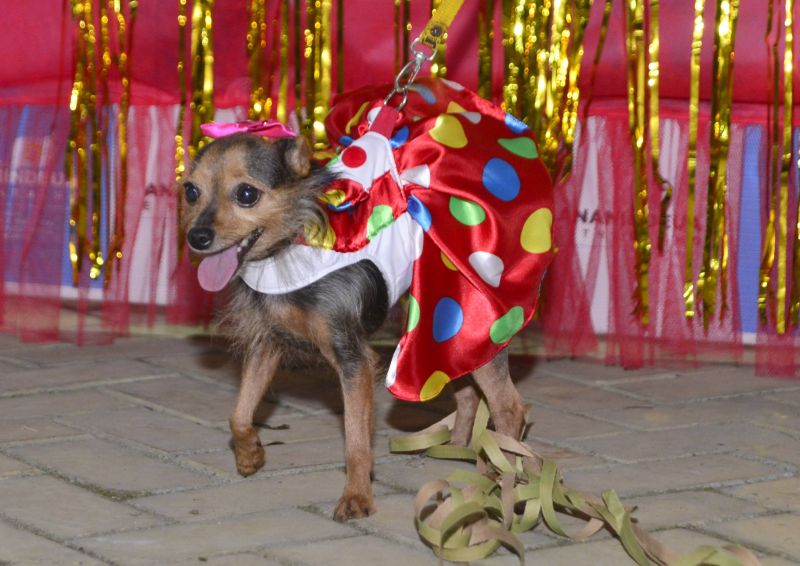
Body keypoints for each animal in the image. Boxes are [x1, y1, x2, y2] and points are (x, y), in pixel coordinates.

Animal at [184, 133, 528, 524]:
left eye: (246, 194)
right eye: (190, 191)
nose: (196, 237)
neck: (290, 246)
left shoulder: (353, 360)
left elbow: (356, 441)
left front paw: (357, 497)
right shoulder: (268, 344)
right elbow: (238, 414)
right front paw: (249, 455)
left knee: (509, 407)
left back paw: (504, 477)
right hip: (442, 327)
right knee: (468, 391)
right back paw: (455, 449)